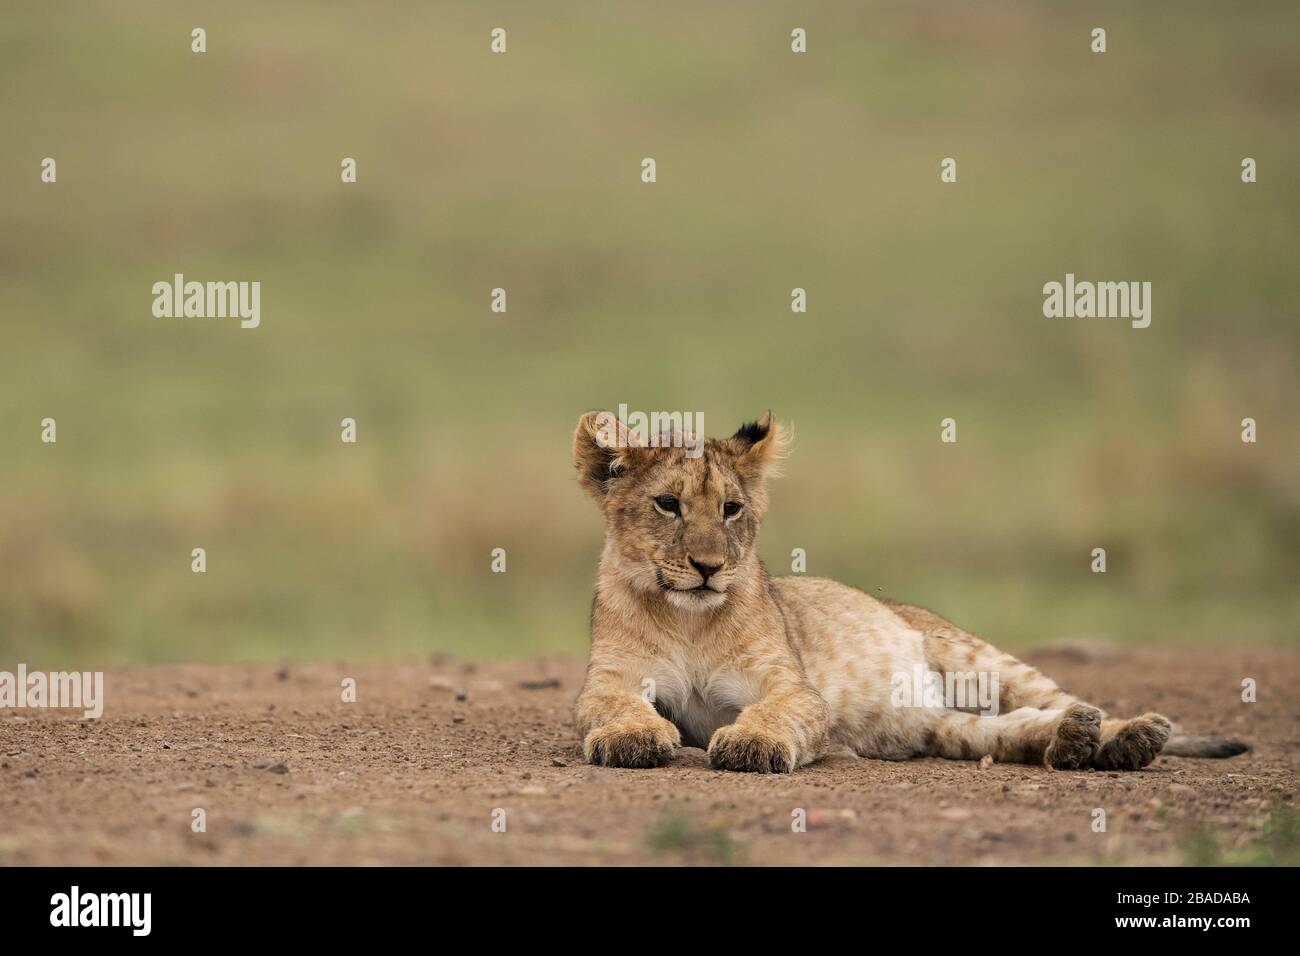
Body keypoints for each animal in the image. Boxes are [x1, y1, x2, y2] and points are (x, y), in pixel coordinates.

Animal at [571, 409, 1248, 773]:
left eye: (731, 509)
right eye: (668, 505)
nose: (710, 567)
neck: (688, 616)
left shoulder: (791, 685)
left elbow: (778, 710)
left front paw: (751, 742)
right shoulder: (609, 681)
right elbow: (611, 706)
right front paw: (633, 737)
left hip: (975, 656)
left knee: (1068, 698)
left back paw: (1130, 735)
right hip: (945, 726)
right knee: (1012, 727)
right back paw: (1075, 741)